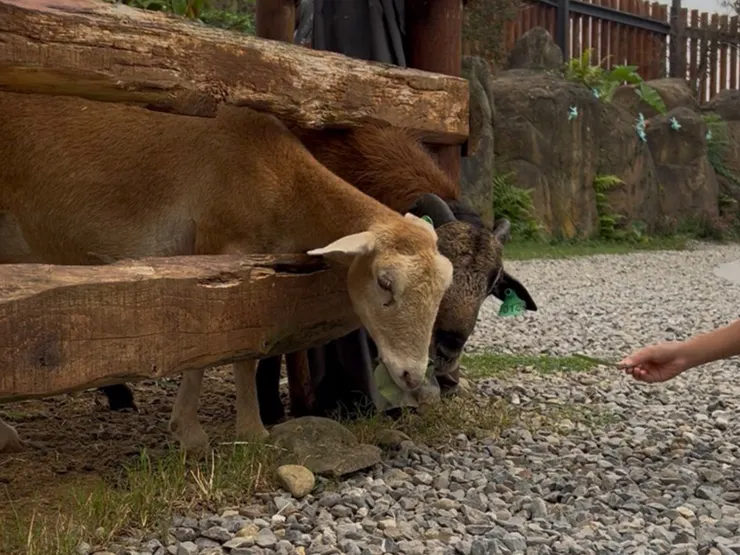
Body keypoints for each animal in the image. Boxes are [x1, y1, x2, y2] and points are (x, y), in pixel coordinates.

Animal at [0, 91, 454, 454]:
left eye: (441, 292)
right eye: (384, 282)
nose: (413, 375)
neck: (281, 180)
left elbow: (242, 351)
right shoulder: (217, 253)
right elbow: (218, 348)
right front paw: (210, 433)